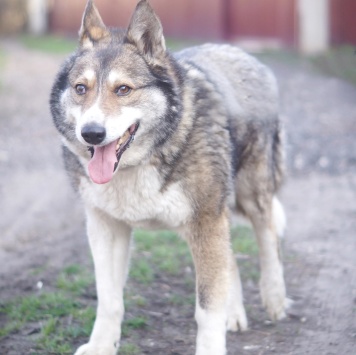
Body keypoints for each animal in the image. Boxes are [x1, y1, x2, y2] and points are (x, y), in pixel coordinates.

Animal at [50, 0, 288, 355]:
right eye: (81, 89)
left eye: (123, 89)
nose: (91, 133)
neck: (140, 161)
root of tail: (244, 53)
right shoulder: (106, 227)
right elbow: (109, 300)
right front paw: (101, 345)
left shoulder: (205, 223)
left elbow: (207, 308)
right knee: (231, 258)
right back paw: (235, 313)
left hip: (251, 195)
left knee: (268, 238)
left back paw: (275, 298)